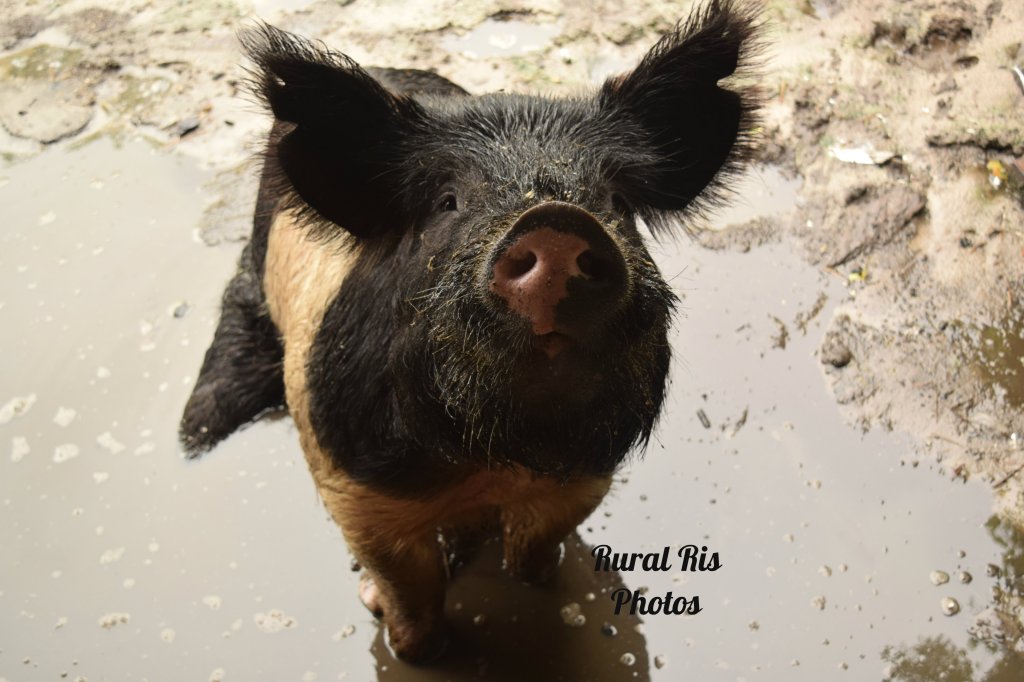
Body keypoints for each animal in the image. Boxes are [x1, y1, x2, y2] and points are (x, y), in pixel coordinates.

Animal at [180, 0, 760, 662]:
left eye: (615, 201)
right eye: (446, 201)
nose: (556, 222)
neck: (488, 458)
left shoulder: (585, 476)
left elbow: (532, 554)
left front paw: (536, 582)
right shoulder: (351, 482)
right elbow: (412, 592)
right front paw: (406, 641)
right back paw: (194, 433)